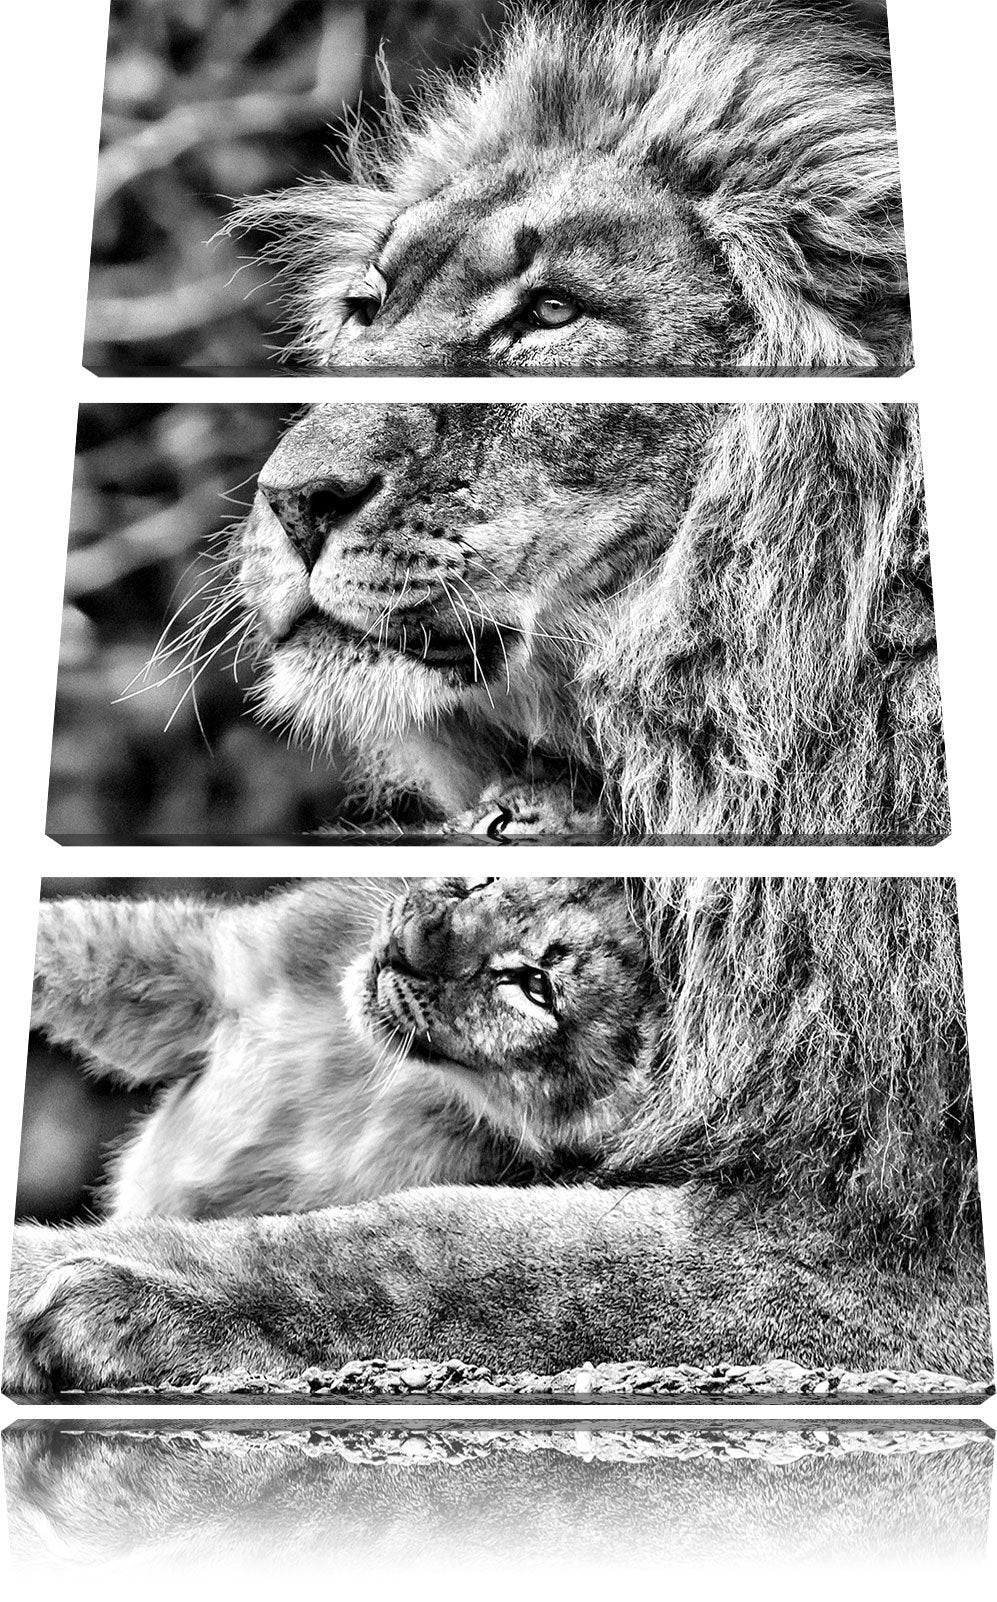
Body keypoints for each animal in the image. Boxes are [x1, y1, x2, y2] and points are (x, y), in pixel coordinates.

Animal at [5, 876, 989, 1393]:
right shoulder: (214, 969)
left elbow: (393, 1273)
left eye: (532, 984)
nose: (412, 941)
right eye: (475, 880)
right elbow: (71, 943)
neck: (368, 1071)